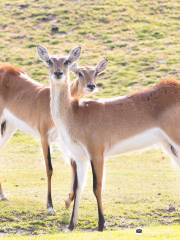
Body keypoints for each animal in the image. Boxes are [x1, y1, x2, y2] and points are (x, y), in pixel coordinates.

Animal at [0, 58, 99, 214]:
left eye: (95, 72)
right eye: (80, 73)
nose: (91, 86)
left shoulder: (62, 140)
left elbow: (73, 165)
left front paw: (68, 200)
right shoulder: (44, 137)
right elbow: (49, 168)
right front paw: (50, 206)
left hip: (9, 127)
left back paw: (3, 195)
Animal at [37, 45, 179, 232]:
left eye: (67, 61)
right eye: (49, 61)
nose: (58, 73)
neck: (75, 114)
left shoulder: (97, 152)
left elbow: (96, 187)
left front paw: (101, 224)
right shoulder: (80, 157)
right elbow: (79, 187)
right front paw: (71, 225)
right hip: (169, 145)